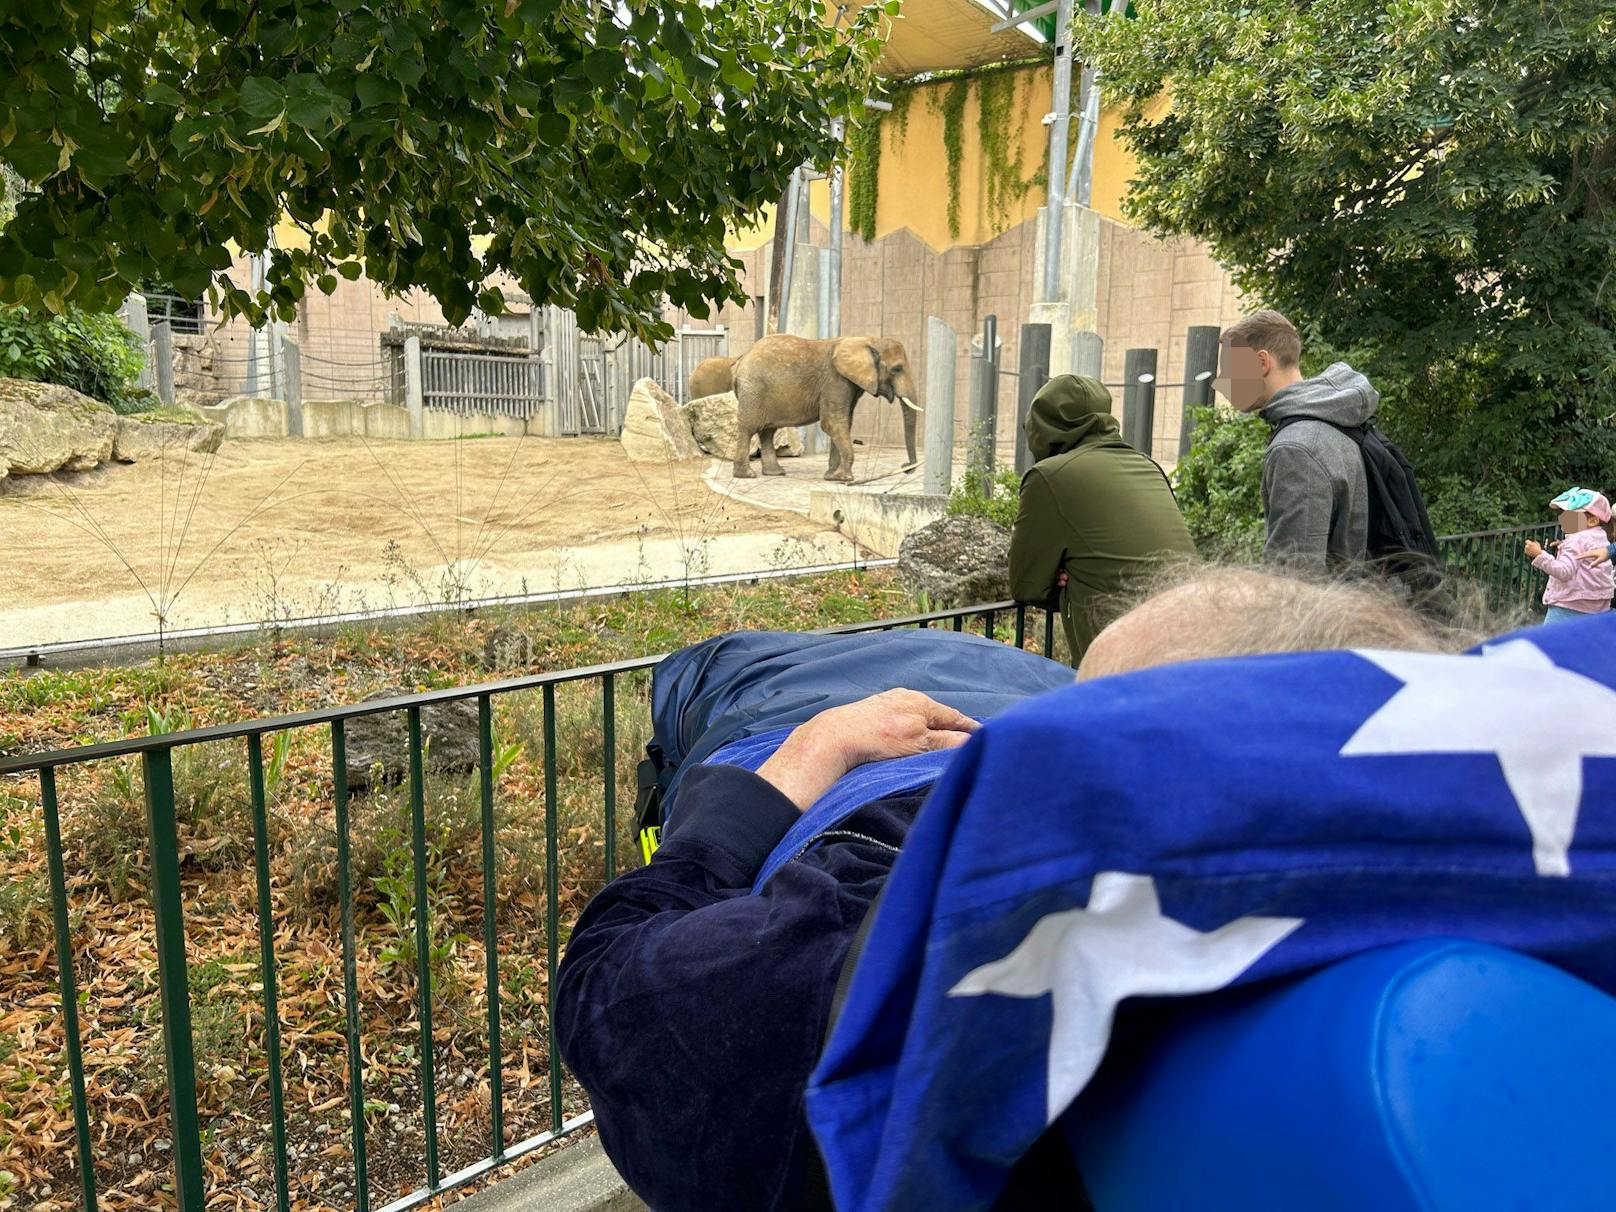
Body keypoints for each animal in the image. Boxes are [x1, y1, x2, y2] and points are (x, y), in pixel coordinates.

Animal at [733, 337, 924, 484]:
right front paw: (843, 479)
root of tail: (741, 359)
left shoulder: (848, 384)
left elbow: (844, 422)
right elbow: (833, 422)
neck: (869, 341)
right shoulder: (836, 381)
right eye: (897, 369)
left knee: (768, 431)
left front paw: (831, 476)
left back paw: (775, 473)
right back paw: (746, 475)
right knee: (749, 428)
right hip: (753, 390)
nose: (905, 467)